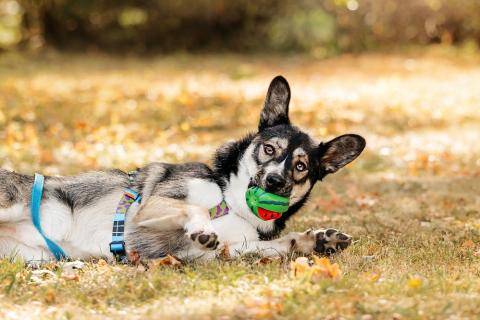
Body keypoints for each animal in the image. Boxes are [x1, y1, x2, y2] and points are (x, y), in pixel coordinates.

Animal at [0, 76, 364, 262]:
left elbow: (284, 244)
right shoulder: (150, 207)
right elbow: (194, 209)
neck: (230, 202)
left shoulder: (230, 251)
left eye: (301, 166)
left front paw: (319, 241)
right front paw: (202, 227)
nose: (274, 181)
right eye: (270, 149)